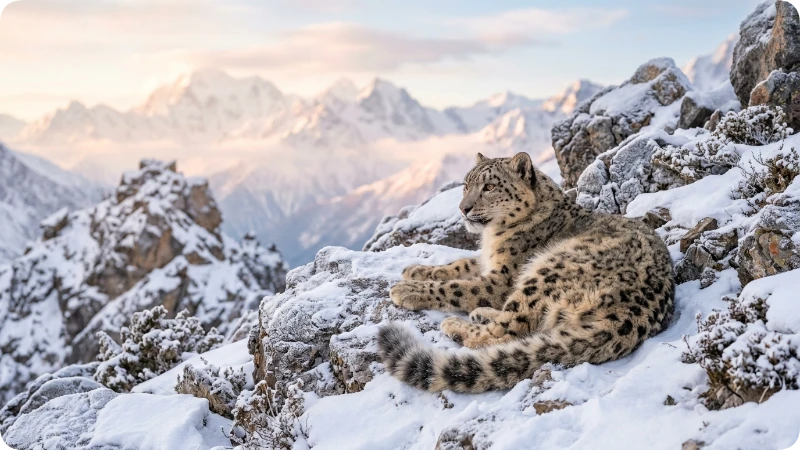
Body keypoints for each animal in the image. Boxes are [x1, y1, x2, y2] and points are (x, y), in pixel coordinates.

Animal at [377, 152, 674, 393]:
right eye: (466, 184)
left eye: (490, 186)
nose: (463, 208)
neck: (493, 237)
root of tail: (631, 316)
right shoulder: (490, 261)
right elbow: (459, 265)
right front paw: (415, 270)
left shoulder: (502, 278)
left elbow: (460, 286)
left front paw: (405, 289)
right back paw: (480, 314)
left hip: (549, 269)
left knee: (506, 330)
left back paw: (456, 324)